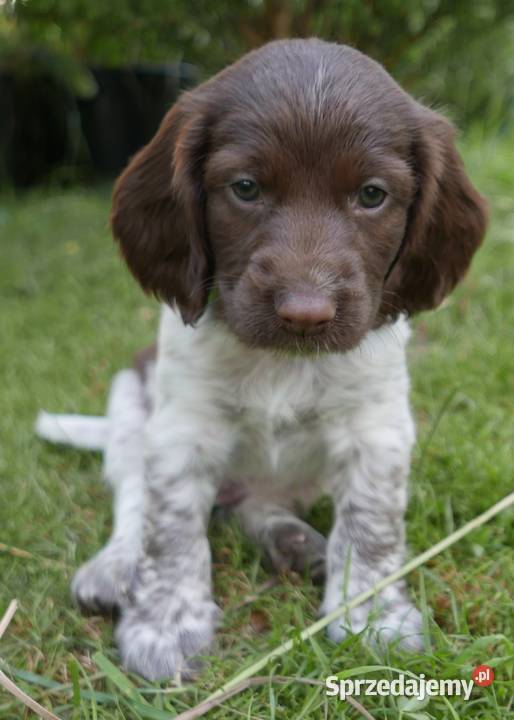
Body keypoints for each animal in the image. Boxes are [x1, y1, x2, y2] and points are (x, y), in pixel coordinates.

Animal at [36, 39, 484, 680]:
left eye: (372, 195)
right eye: (245, 188)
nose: (306, 313)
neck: (283, 361)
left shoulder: (378, 429)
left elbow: (371, 524)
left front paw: (372, 615)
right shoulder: (181, 428)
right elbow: (171, 530)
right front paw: (165, 624)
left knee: (259, 506)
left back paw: (296, 542)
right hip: (128, 404)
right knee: (134, 502)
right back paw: (116, 568)